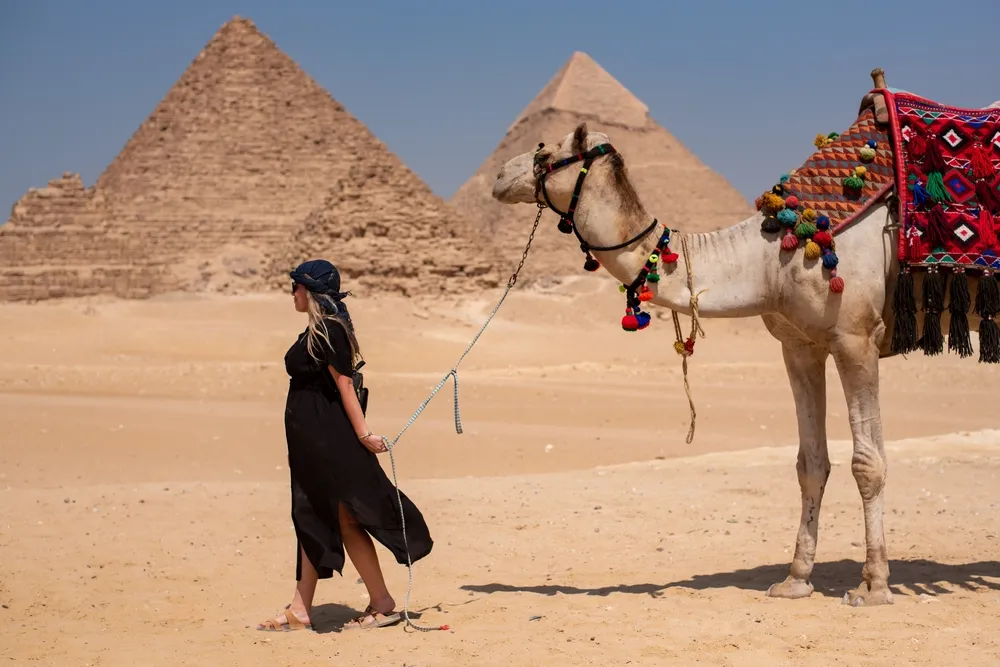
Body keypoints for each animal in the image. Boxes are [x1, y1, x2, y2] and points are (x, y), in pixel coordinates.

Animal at [490, 69, 999, 607]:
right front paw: (795, 579)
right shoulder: (800, 345)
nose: (500, 175)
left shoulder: (856, 336)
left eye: (547, 153)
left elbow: (868, 463)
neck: (772, 254)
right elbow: (810, 463)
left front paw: (875, 584)